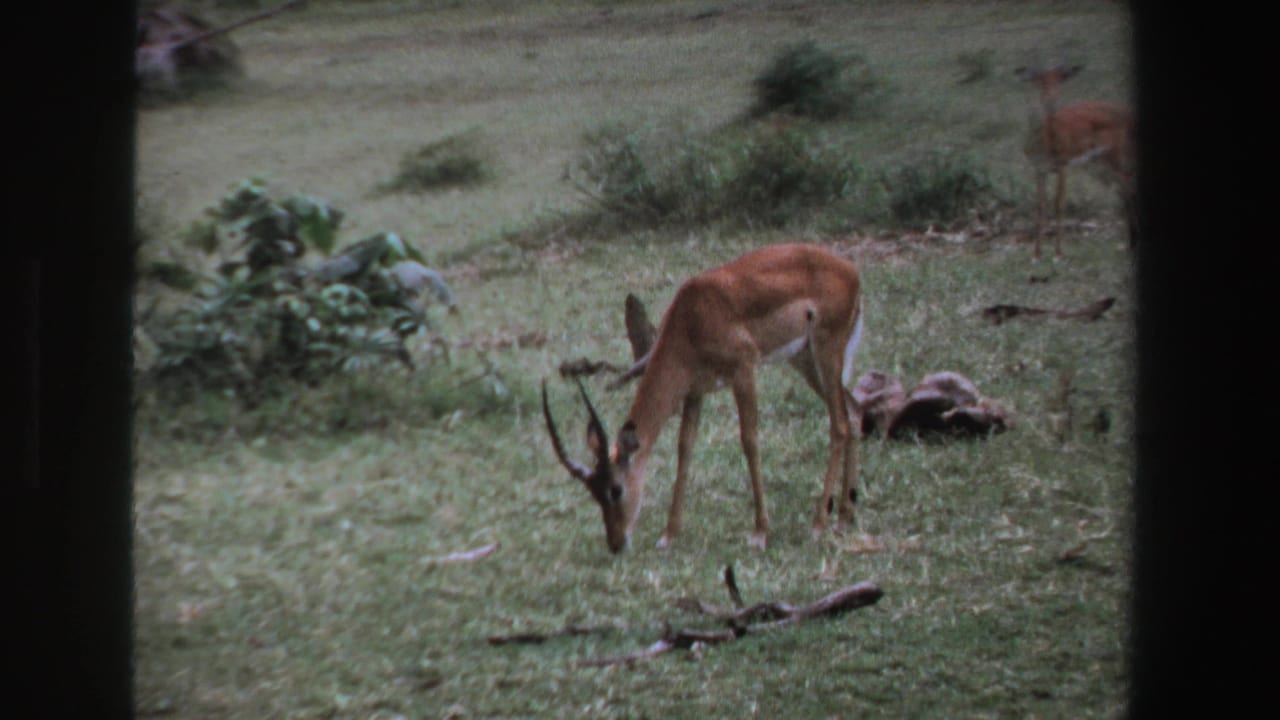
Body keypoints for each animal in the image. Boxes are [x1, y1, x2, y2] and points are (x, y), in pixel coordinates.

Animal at [542, 243, 863, 553]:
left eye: (616, 489)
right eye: (593, 493)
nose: (616, 544)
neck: (691, 316)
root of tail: (851, 271)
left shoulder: (743, 370)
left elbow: (749, 441)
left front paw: (760, 532)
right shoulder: (694, 391)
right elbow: (685, 448)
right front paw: (668, 535)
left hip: (825, 352)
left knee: (839, 424)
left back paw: (818, 524)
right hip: (804, 360)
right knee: (854, 413)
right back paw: (844, 517)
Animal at [1016, 64, 1133, 260]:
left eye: (1059, 80)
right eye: (1040, 81)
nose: (1052, 97)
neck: (1046, 141)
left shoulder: (1062, 167)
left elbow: (1058, 204)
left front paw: (1058, 252)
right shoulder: (1039, 170)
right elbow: (1040, 207)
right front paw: (1037, 253)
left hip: (1117, 158)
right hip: (1099, 166)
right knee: (1124, 192)